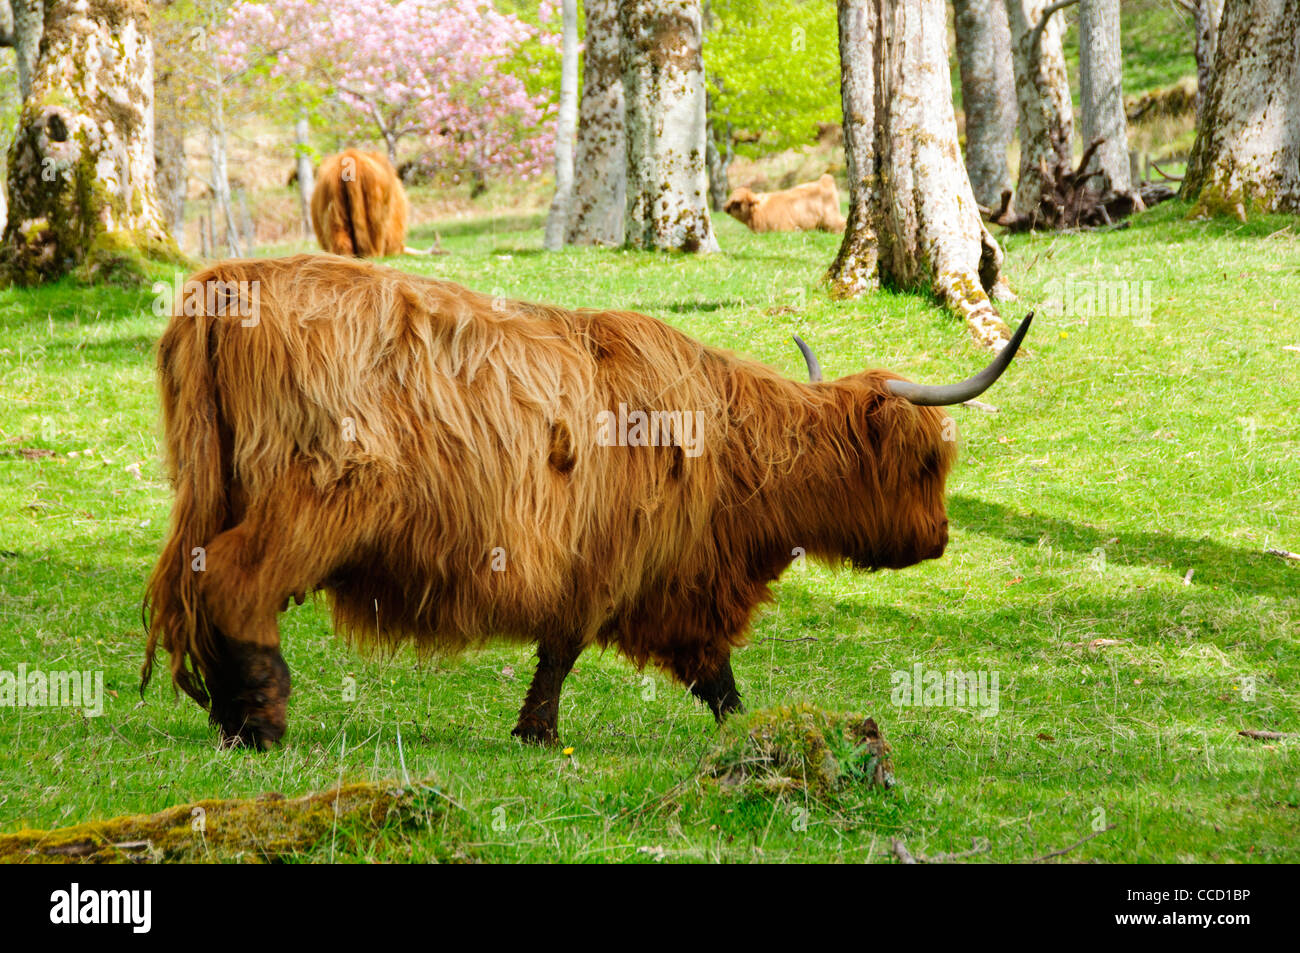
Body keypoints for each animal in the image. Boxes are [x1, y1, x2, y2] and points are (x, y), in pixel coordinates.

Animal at [141, 254, 1030, 748]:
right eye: (931, 460)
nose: (941, 536)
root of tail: (228, 281)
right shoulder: (614, 559)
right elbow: (566, 649)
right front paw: (539, 731)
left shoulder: (675, 574)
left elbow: (714, 672)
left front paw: (748, 728)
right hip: (322, 493)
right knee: (235, 579)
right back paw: (262, 719)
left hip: (210, 490)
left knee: (190, 582)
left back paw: (227, 712)